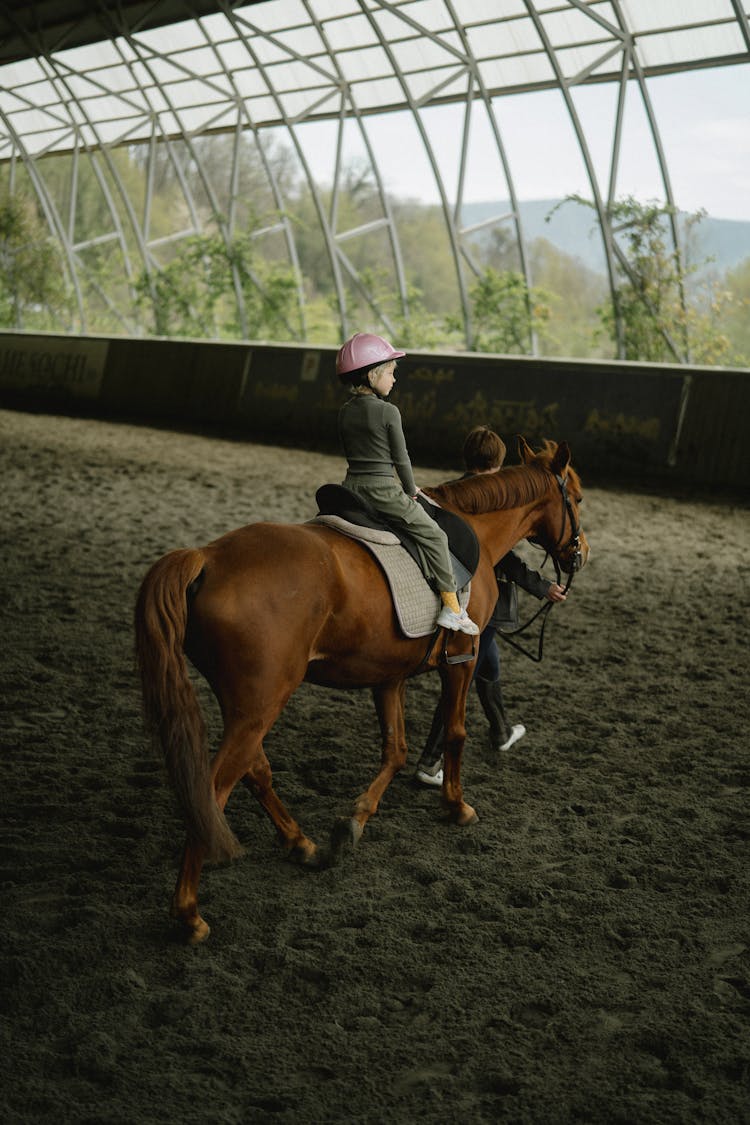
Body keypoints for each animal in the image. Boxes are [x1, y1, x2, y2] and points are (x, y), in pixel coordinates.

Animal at [137, 438, 589, 940]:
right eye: (577, 499)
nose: (580, 554)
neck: (477, 529)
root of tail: (208, 557)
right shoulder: (463, 658)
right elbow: (455, 733)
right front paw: (457, 807)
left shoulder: (388, 675)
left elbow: (395, 750)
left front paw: (354, 821)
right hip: (260, 705)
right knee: (212, 791)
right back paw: (189, 913)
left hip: (249, 706)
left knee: (255, 771)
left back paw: (303, 845)